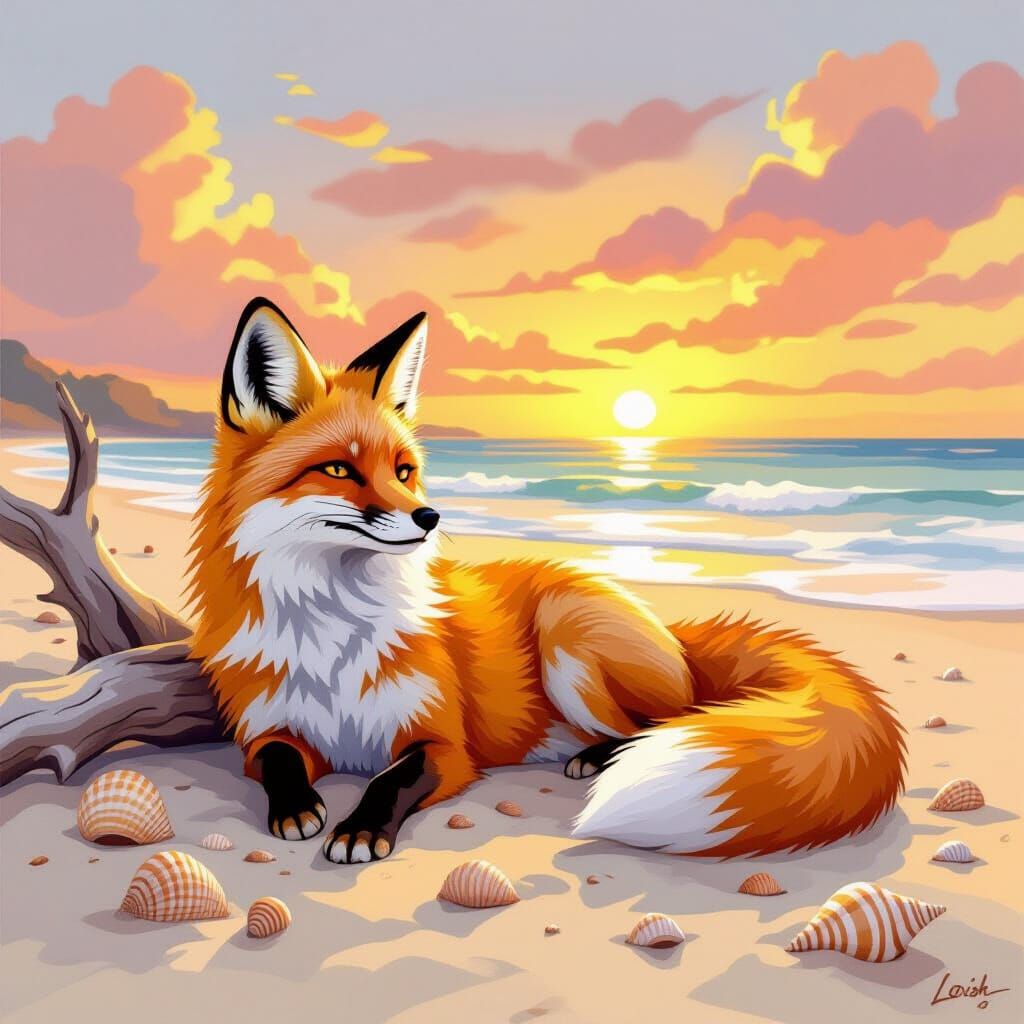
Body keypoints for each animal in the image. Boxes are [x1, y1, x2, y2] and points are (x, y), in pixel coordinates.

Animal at [188, 297, 906, 864]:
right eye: (339, 470)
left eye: (403, 470)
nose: (430, 517)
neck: (332, 632)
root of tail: (674, 634)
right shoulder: (266, 728)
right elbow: (278, 761)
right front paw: (295, 807)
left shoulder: (443, 741)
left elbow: (391, 778)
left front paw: (361, 828)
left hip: (569, 642)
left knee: (673, 720)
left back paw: (600, 756)